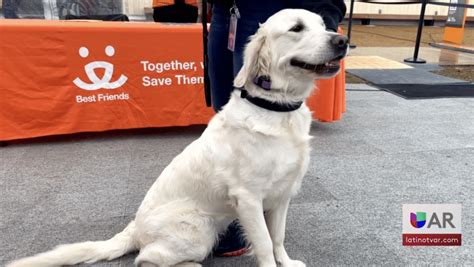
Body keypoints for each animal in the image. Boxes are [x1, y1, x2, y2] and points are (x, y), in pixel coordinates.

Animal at [7, 8, 348, 267]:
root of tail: (134, 228)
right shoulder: (249, 197)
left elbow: (277, 237)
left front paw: (287, 263)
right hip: (197, 229)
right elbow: (264, 243)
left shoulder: (282, 194)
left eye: (323, 26)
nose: (343, 40)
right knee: (145, 259)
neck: (277, 108)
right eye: (296, 28)